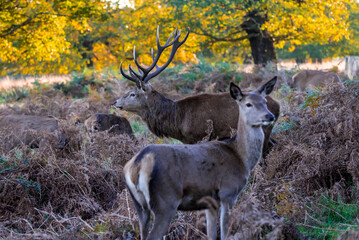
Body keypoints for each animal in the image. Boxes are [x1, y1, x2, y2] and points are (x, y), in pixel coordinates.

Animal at [113, 26, 282, 156]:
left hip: (265, 127)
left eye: (133, 94)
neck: (177, 120)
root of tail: (277, 105)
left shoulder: (198, 136)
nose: (115, 102)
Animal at [124, 78, 278, 239]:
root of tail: (137, 165)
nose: (269, 116)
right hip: (165, 202)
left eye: (264, 101)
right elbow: (225, 233)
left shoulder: (211, 202)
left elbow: (211, 234)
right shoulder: (228, 192)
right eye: (248, 104)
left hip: (140, 205)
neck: (240, 157)